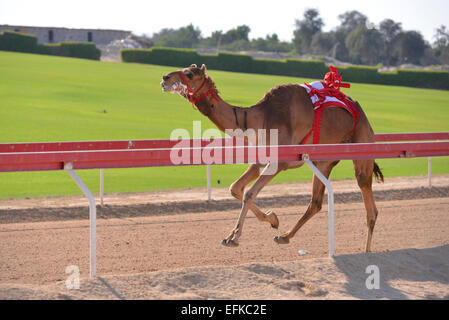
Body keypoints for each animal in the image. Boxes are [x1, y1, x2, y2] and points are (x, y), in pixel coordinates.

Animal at [159, 63, 384, 252]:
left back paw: (366, 251)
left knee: (369, 201)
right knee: (316, 202)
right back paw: (284, 236)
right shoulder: (260, 159)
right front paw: (273, 219)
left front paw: (234, 237)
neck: (261, 118)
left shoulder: (279, 162)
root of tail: (360, 112)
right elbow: (235, 188)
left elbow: (249, 193)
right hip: (324, 161)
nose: (164, 77)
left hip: (362, 144)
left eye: (189, 74)